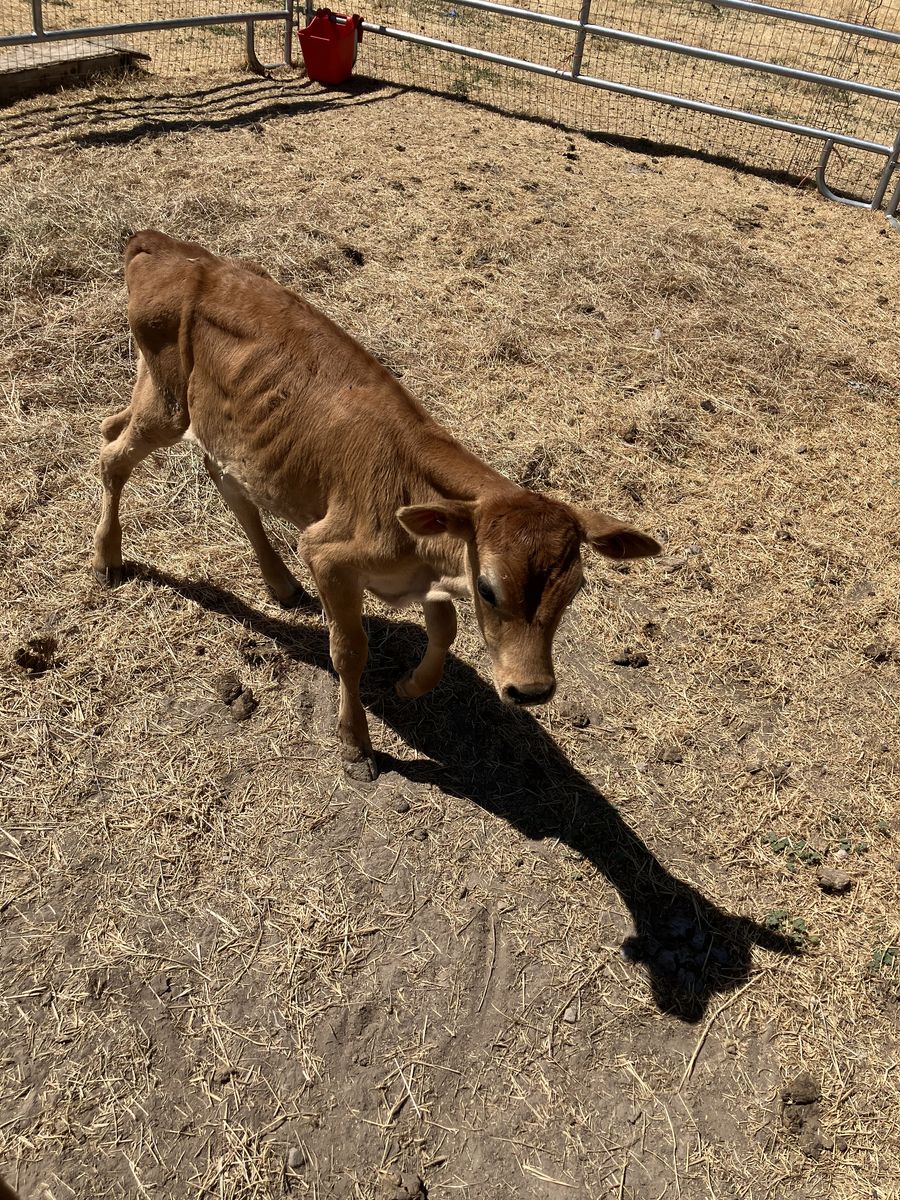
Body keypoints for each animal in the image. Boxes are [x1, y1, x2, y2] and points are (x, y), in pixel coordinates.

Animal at [93, 231, 660, 780]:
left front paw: (410, 686)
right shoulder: (327, 553)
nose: (533, 690)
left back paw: (281, 584)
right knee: (112, 453)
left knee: (189, 465)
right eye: (488, 589)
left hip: (214, 424)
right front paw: (356, 746)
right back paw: (107, 561)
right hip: (167, 405)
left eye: (574, 589)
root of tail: (168, 247)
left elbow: (445, 629)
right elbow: (350, 651)